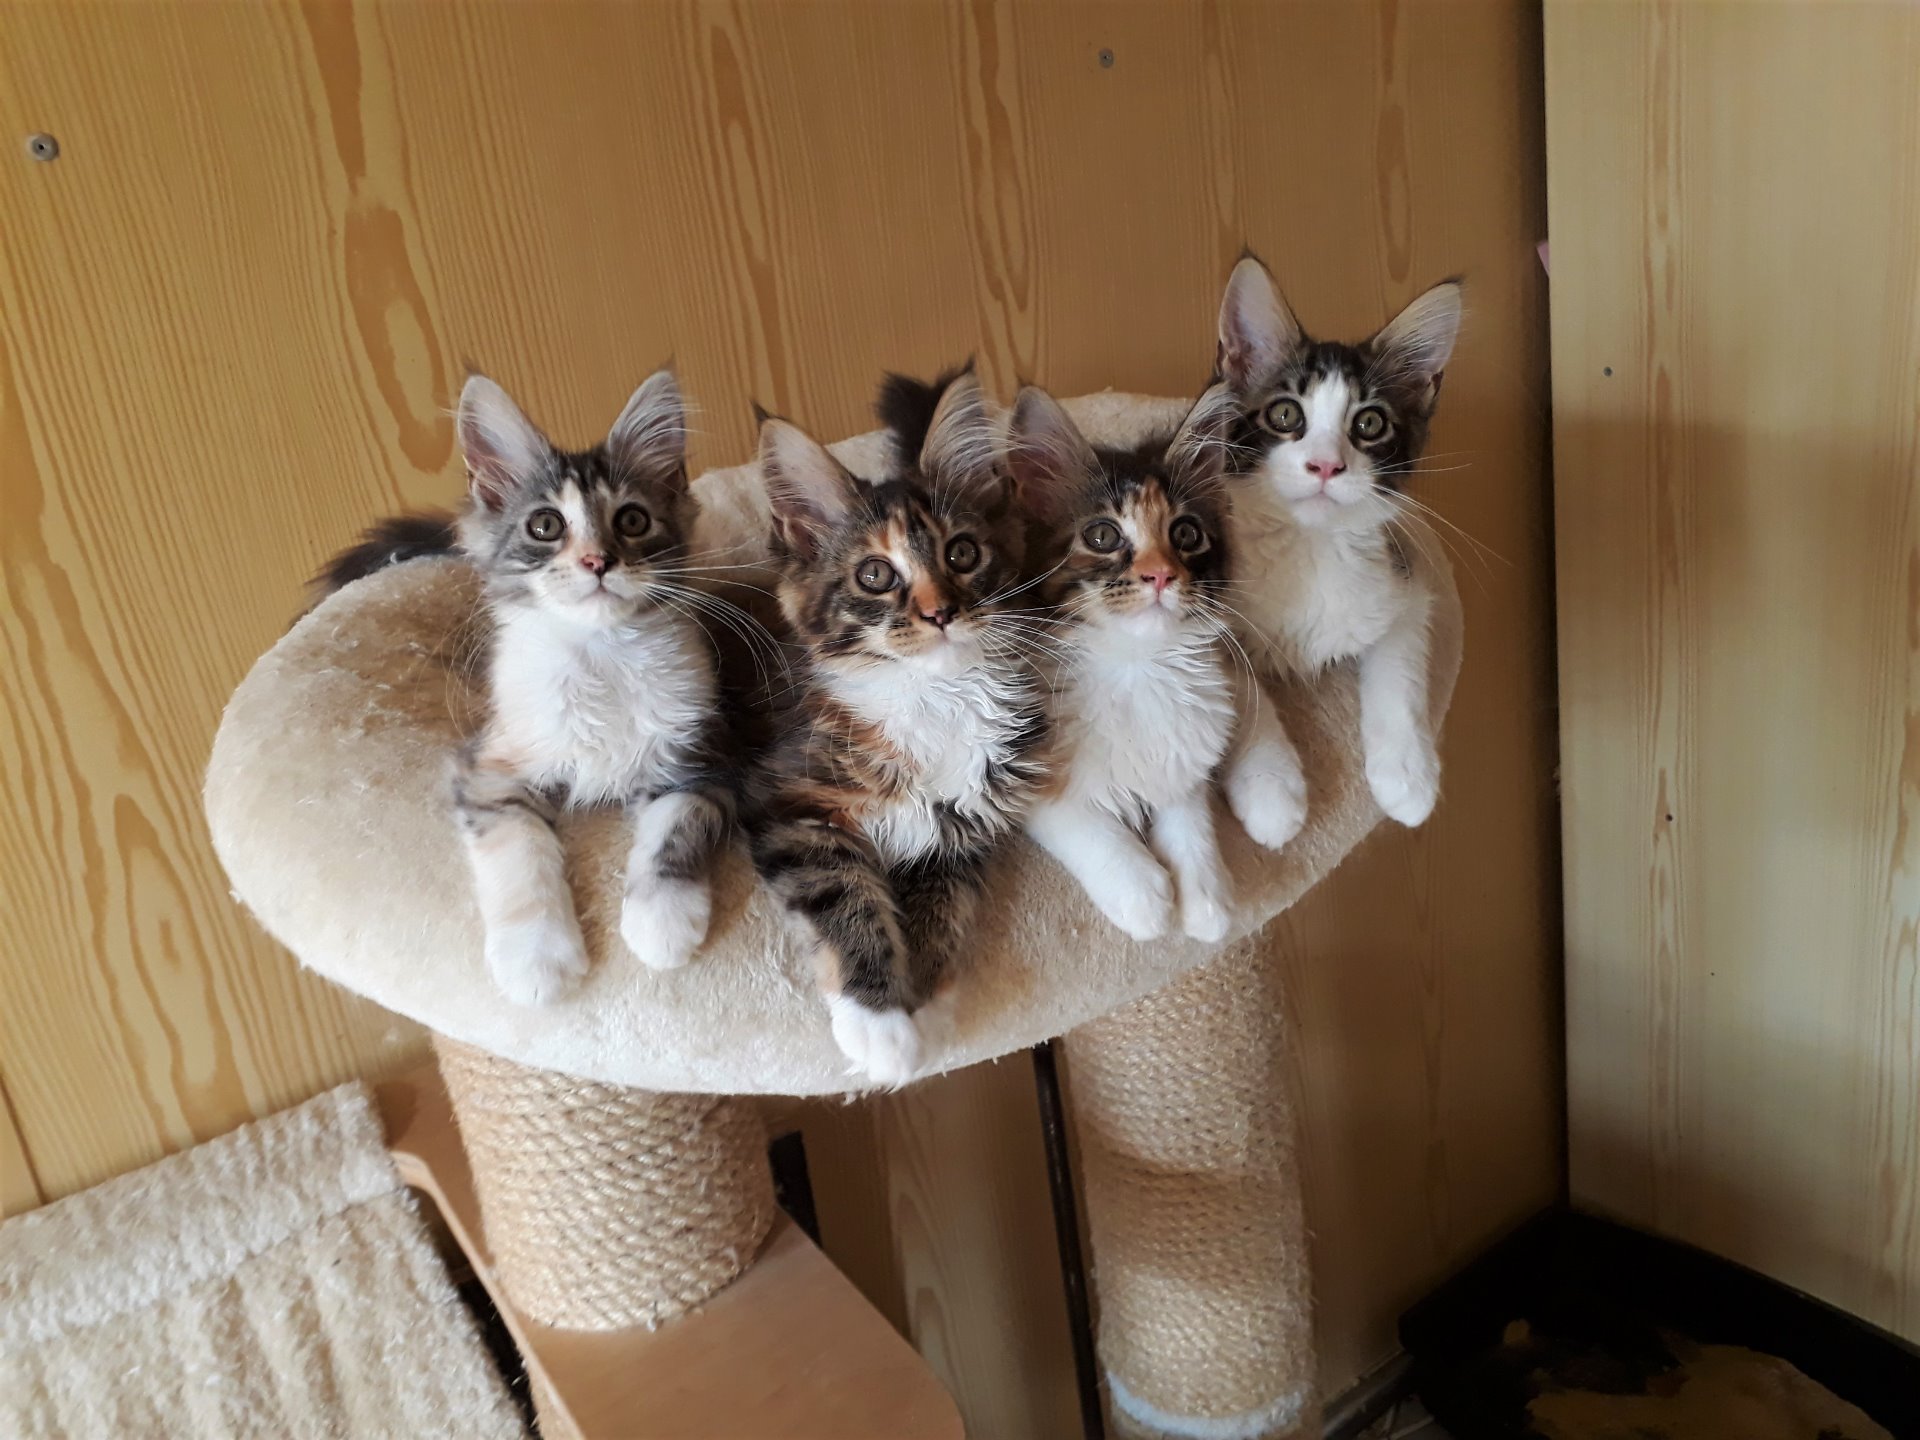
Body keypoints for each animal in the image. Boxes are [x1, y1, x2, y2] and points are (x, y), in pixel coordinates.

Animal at [443, 370, 733, 1003]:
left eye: (632, 520)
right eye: (545, 526)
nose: (598, 561)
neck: (602, 653)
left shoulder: (705, 756)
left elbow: (675, 830)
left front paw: (661, 924)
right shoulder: (488, 768)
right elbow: (518, 850)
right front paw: (535, 962)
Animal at [746, 367, 1047, 1085]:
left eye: (962, 554)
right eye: (875, 575)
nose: (941, 613)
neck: (933, 696)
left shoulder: (961, 823)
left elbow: (943, 909)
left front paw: (929, 1007)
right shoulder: (787, 802)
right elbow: (845, 898)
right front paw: (878, 1023)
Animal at [1005, 384, 1243, 942]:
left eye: (1186, 534)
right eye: (1102, 536)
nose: (1160, 575)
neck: (1137, 665)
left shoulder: (1185, 749)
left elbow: (1190, 818)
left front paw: (1207, 898)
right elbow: (1078, 819)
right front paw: (1140, 892)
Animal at [1212, 254, 1462, 828]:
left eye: (1369, 423)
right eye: (1285, 414)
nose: (1327, 465)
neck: (1310, 546)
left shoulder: (1404, 582)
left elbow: (1400, 670)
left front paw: (1408, 776)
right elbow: (1241, 686)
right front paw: (1270, 785)